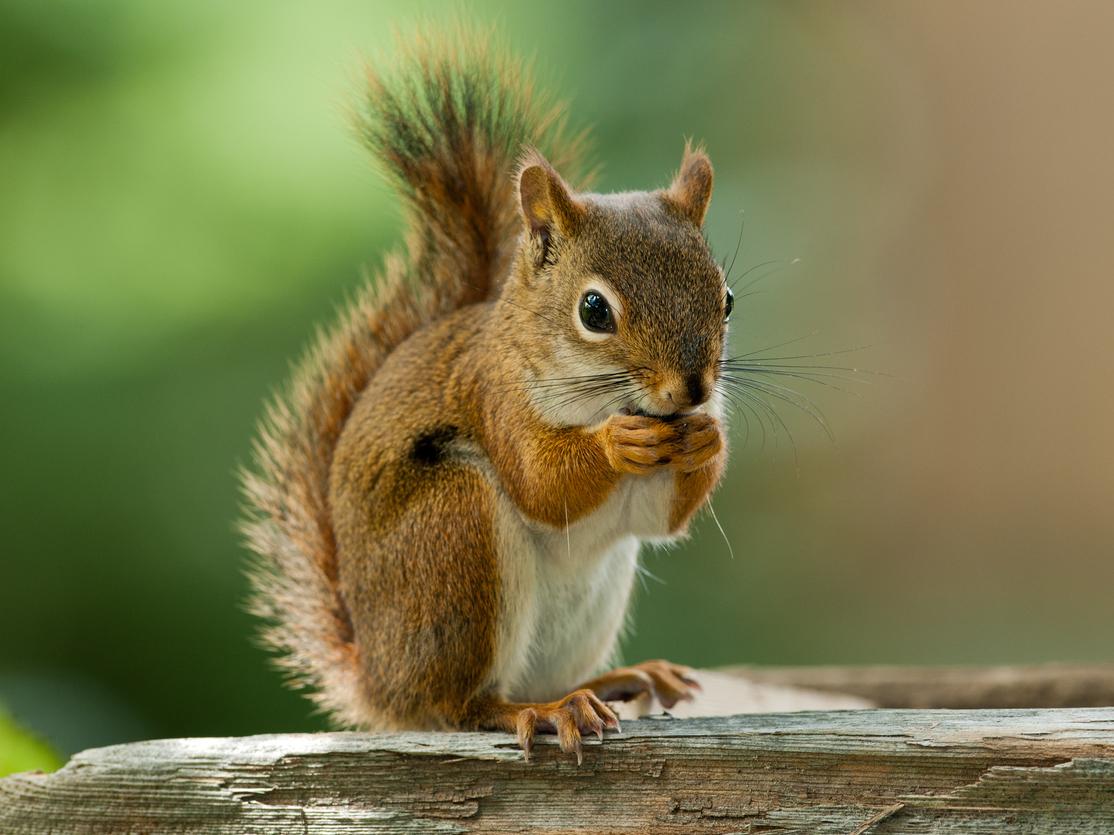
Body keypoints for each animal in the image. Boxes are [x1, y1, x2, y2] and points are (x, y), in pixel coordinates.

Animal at [241, 31, 730, 765]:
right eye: (594, 310)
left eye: (726, 298)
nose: (693, 387)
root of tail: (379, 681)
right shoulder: (496, 398)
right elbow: (541, 481)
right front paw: (617, 443)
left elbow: (659, 518)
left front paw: (707, 436)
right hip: (454, 533)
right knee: (462, 706)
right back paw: (542, 711)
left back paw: (616, 681)